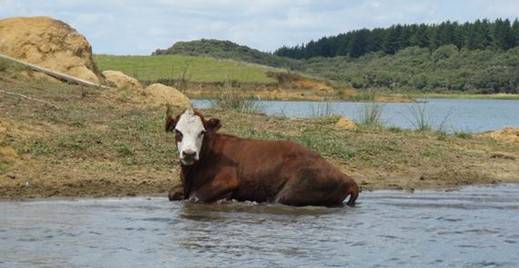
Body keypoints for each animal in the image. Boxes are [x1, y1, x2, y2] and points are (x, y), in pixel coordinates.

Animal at [165, 107, 360, 207]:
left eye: (202, 132)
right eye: (178, 131)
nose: (189, 153)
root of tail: (347, 177)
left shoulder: (227, 181)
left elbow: (195, 197)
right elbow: (172, 193)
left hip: (295, 190)